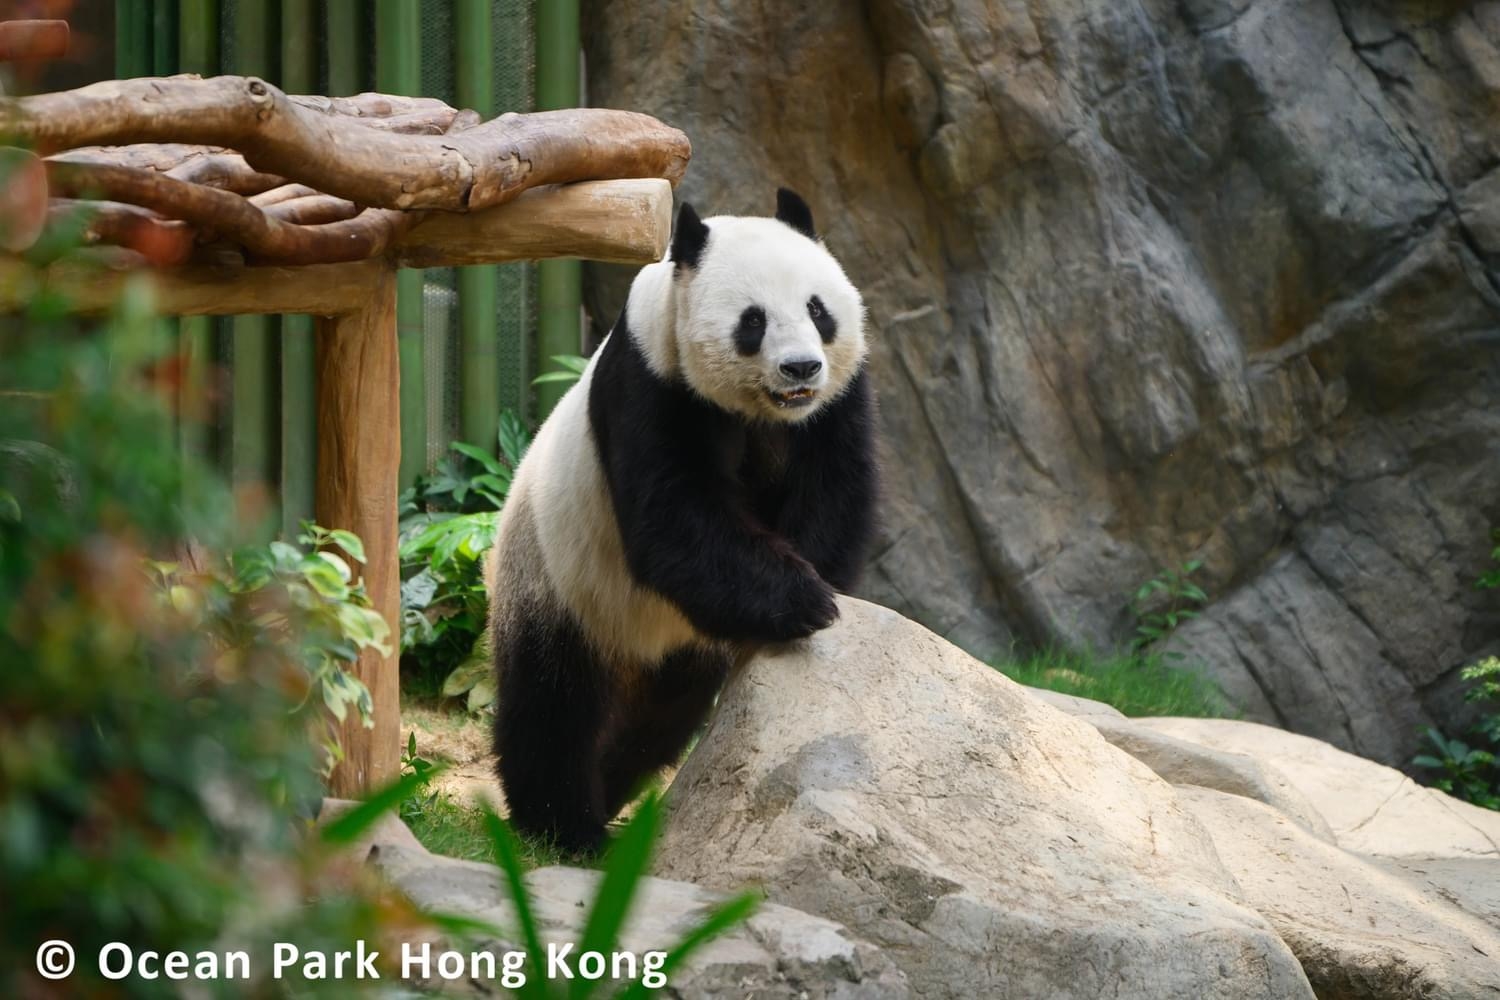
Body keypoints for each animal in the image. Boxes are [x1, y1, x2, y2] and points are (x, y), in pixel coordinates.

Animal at [488, 188, 877, 852]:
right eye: (753, 321)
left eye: (818, 309)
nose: (801, 369)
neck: (761, 410)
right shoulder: (651, 379)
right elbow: (671, 519)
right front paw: (805, 601)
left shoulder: (837, 400)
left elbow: (834, 491)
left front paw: (816, 588)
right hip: (555, 578)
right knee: (552, 705)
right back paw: (567, 826)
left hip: (676, 643)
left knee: (659, 718)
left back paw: (610, 789)